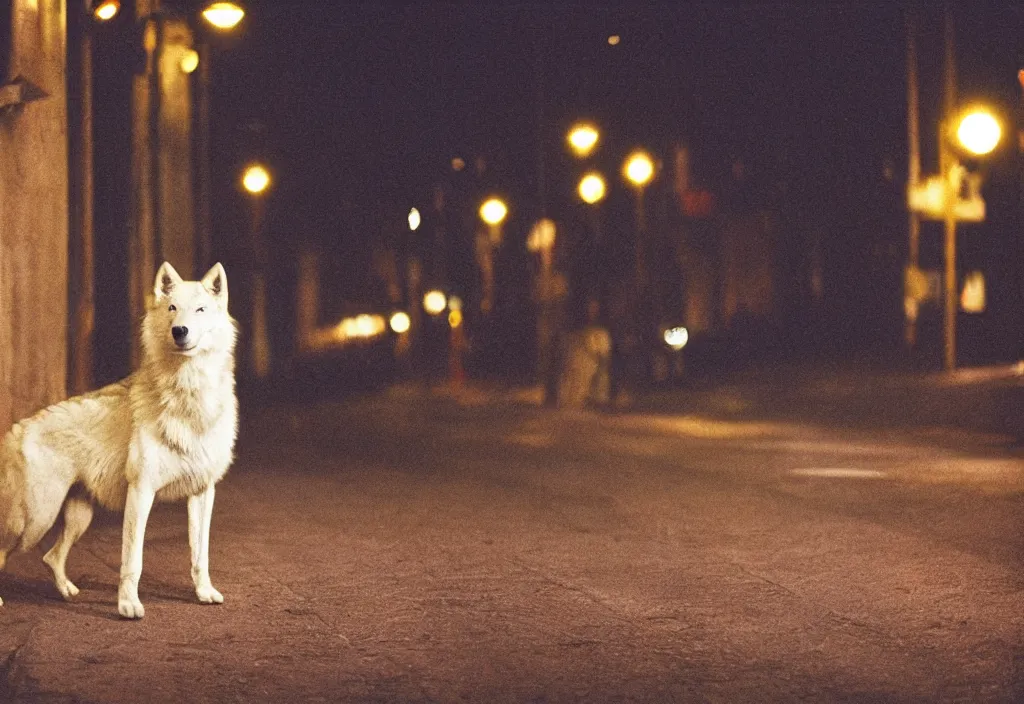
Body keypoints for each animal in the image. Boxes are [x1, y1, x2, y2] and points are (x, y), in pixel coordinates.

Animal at [0, 260, 237, 618]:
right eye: (172, 308)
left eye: (200, 309)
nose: (179, 331)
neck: (187, 395)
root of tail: (16, 429)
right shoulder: (140, 493)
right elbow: (132, 560)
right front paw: (128, 606)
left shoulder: (202, 493)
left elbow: (200, 555)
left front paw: (204, 593)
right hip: (33, 522)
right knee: (13, 551)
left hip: (77, 519)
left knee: (50, 556)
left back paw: (67, 591)